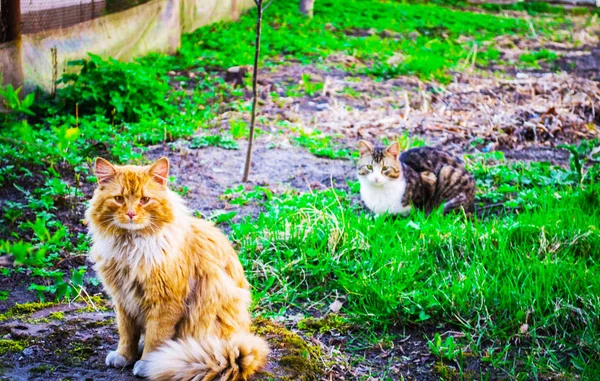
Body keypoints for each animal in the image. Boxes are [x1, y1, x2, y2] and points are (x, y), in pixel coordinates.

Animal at [85, 156, 268, 378]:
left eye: (144, 200)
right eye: (119, 199)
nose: (130, 214)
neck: (130, 248)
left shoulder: (165, 302)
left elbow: (155, 338)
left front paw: (147, 364)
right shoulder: (123, 300)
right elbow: (127, 333)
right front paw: (124, 356)